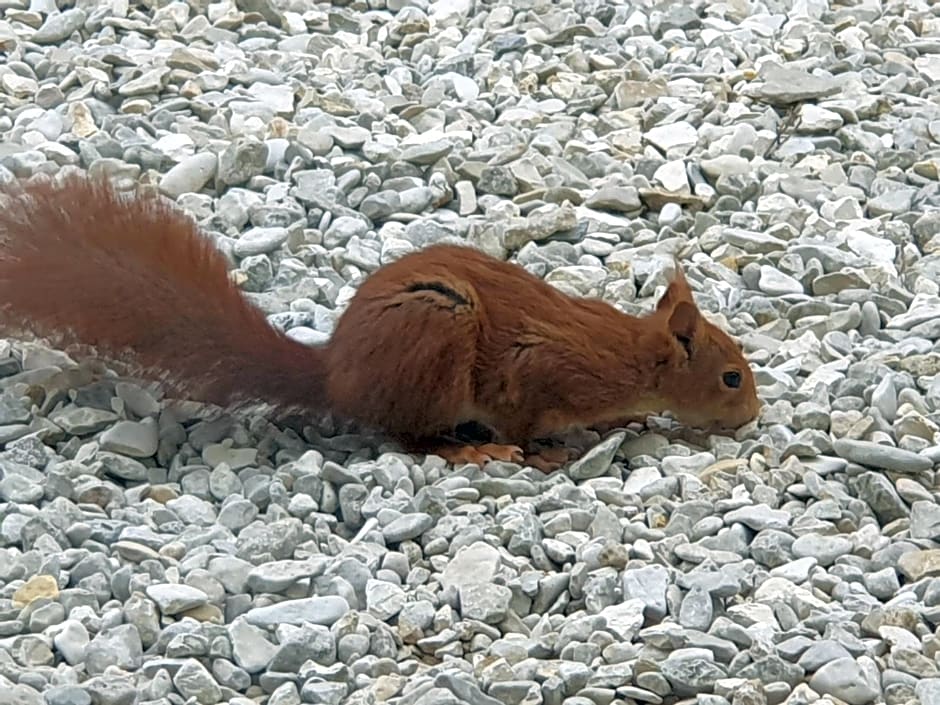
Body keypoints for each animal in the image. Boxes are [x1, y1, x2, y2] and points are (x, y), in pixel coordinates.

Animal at [0, 173, 756, 470]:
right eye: (729, 378)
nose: (752, 418)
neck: (630, 354)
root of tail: (337, 378)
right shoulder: (542, 369)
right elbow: (521, 418)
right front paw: (544, 452)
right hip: (434, 345)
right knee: (406, 435)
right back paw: (468, 451)